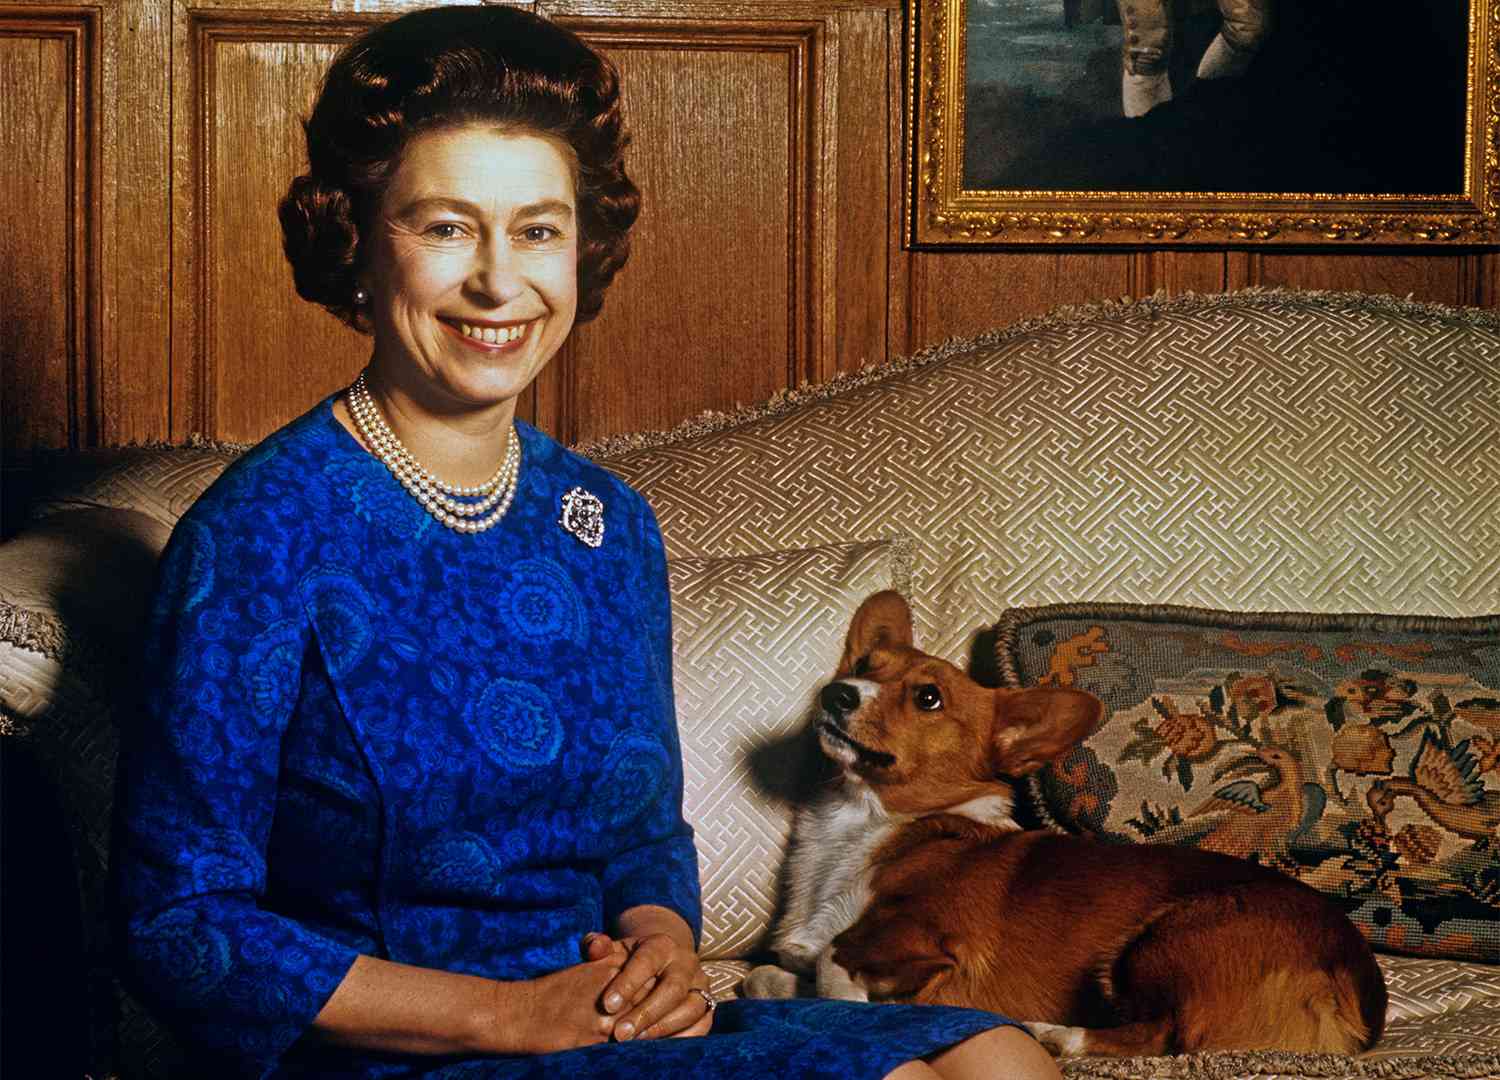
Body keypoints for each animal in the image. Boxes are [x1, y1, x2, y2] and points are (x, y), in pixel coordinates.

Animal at [744, 591, 1386, 1056]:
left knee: (1164, 1036)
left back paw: (1055, 1034)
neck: (862, 822)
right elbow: (768, 975)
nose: (837, 693)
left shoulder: (931, 938)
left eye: (928, 698)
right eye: (863, 665)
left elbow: (833, 959)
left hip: (1159, 938)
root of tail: (1360, 990)